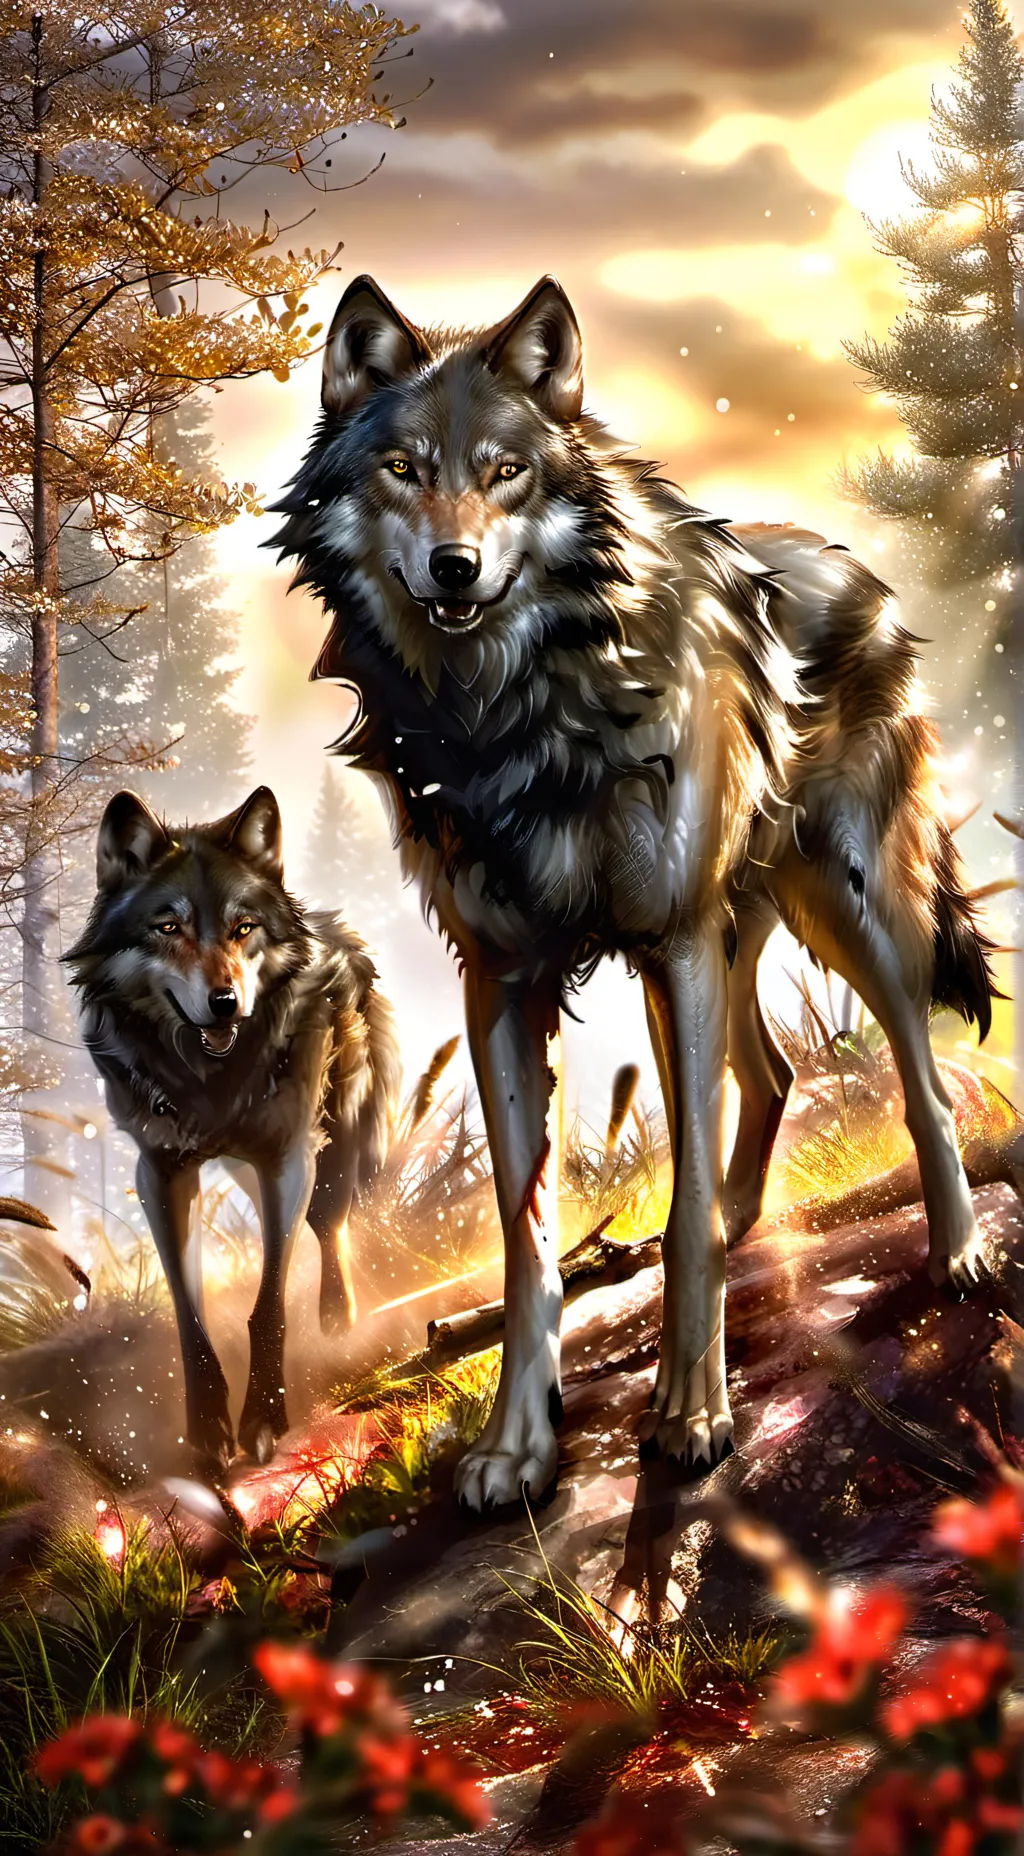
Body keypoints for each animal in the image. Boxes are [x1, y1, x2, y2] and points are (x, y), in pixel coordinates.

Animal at [65, 786, 400, 1471]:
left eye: (244, 928)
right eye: (168, 928)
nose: (225, 1004)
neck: (208, 1080)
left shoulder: (287, 1161)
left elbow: (268, 1305)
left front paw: (264, 1419)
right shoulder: (160, 1174)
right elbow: (189, 1315)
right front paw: (207, 1429)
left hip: (329, 1153)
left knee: (332, 1225)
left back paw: (339, 1317)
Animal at [271, 273, 995, 1511]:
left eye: (506, 471)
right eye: (403, 468)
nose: (453, 567)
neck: (512, 715)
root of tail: (850, 563)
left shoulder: (674, 941)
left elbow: (689, 1191)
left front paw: (692, 1413)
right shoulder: (502, 983)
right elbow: (526, 1242)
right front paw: (516, 1445)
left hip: (845, 918)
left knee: (923, 1083)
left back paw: (954, 1253)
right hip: (729, 944)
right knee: (774, 1073)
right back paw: (746, 1226)